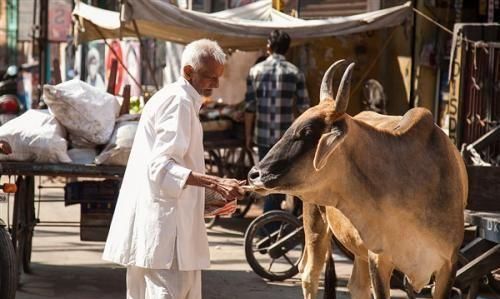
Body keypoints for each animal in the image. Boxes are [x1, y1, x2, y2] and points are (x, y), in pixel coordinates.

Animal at [248, 61, 466, 299]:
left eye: (306, 131)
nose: (254, 174)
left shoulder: (448, 264)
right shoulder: (379, 259)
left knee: (356, 286)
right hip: (314, 222)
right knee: (309, 274)